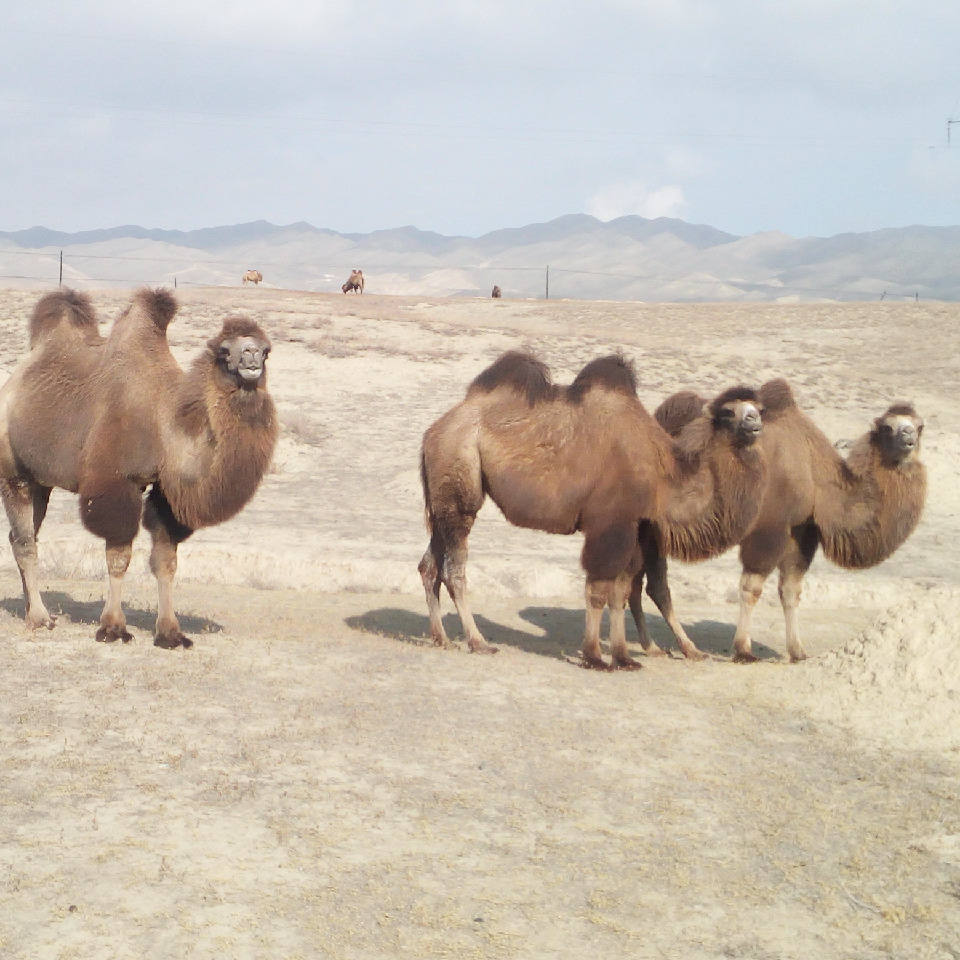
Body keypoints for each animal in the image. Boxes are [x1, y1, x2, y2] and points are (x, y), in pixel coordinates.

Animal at [0, 288, 278, 648]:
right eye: (224, 350)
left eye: (266, 349)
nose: (251, 357)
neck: (165, 424)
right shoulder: (116, 483)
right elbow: (119, 557)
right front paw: (113, 628)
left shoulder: (165, 493)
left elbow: (166, 561)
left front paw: (170, 633)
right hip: (14, 471)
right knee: (25, 541)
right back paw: (39, 618)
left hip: (41, 481)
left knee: (24, 534)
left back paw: (31, 609)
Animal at [416, 348, 768, 672]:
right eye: (728, 412)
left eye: (759, 408)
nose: (755, 423)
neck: (664, 475)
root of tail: (433, 431)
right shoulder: (610, 523)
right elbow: (599, 589)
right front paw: (596, 656)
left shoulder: (634, 525)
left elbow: (621, 589)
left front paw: (624, 657)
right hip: (459, 474)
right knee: (454, 567)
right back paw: (478, 642)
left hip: (442, 499)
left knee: (430, 565)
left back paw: (441, 637)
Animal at [648, 378, 928, 664]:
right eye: (888, 428)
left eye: (919, 426)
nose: (908, 440)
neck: (816, 477)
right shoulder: (769, 528)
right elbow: (751, 588)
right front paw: (744, 649)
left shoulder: (801, 531)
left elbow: (791, 590)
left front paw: (798, 651)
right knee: (656, 583)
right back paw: (678, 648)